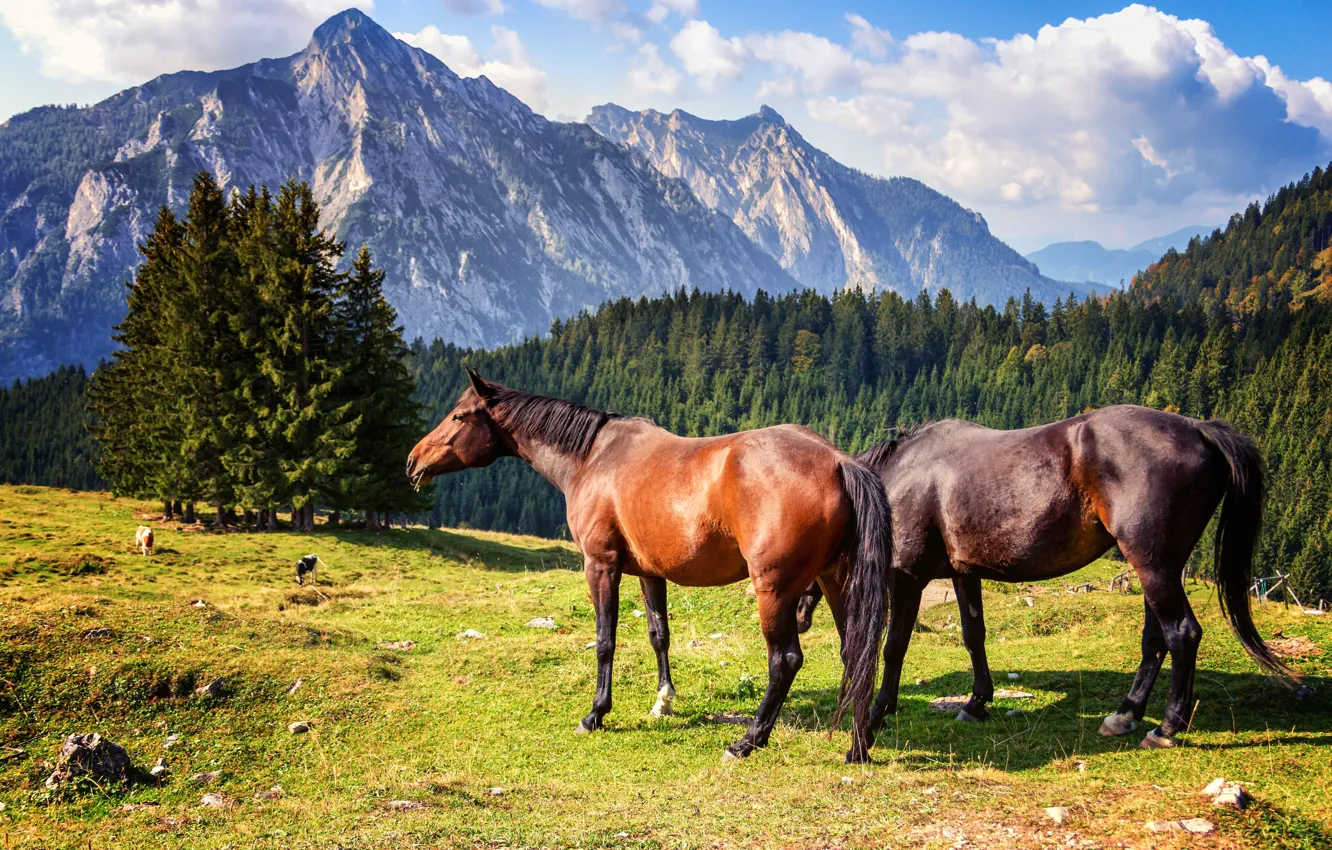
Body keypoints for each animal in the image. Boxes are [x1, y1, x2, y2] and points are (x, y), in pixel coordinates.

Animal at [406, 369, 891, 761]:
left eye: (458, 417)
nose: (413, 460)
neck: (593, 457)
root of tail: (837, 461)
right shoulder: (650, 572)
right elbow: (660, 635)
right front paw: (664, 702)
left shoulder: (600, 565)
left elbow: (605, 640)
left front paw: (596, 714)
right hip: (836, 581)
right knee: (855, 652)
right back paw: (858, 745)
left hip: (775, 591)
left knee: (785, 660)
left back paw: (748, 741)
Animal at [848, 405, 1294, 761]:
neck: (902, 475)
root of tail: (1199, 428)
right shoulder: (965, 572)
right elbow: (974, 636)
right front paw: (976, 703)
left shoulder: (907, 576)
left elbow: (894, 648)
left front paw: (872, 722)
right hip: (1156, 569)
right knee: (1155, 640)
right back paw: (1125, 714)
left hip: (1155, 567)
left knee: (1182, 633)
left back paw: (1166, 729)